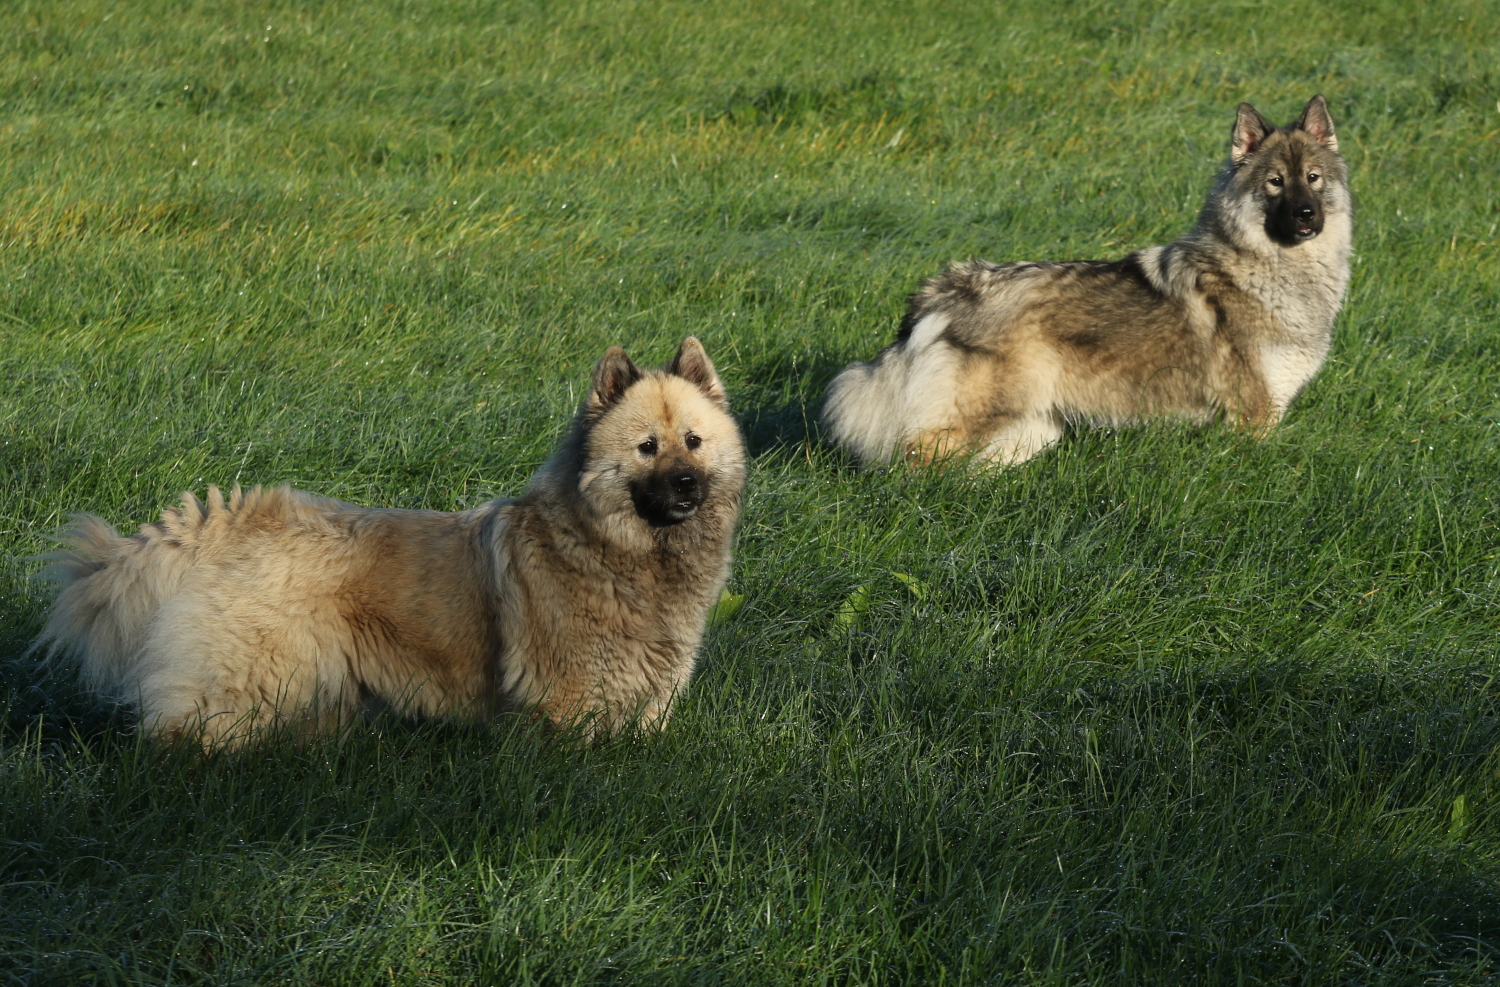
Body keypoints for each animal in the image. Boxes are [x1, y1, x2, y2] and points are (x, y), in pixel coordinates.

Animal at [32, 334, 741, 741]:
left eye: (694, 442)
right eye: (646, 447)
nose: (686, 485)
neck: (611, 549)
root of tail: (238, 519)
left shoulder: (648, 705)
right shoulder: (569, 704)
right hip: (245, 682)